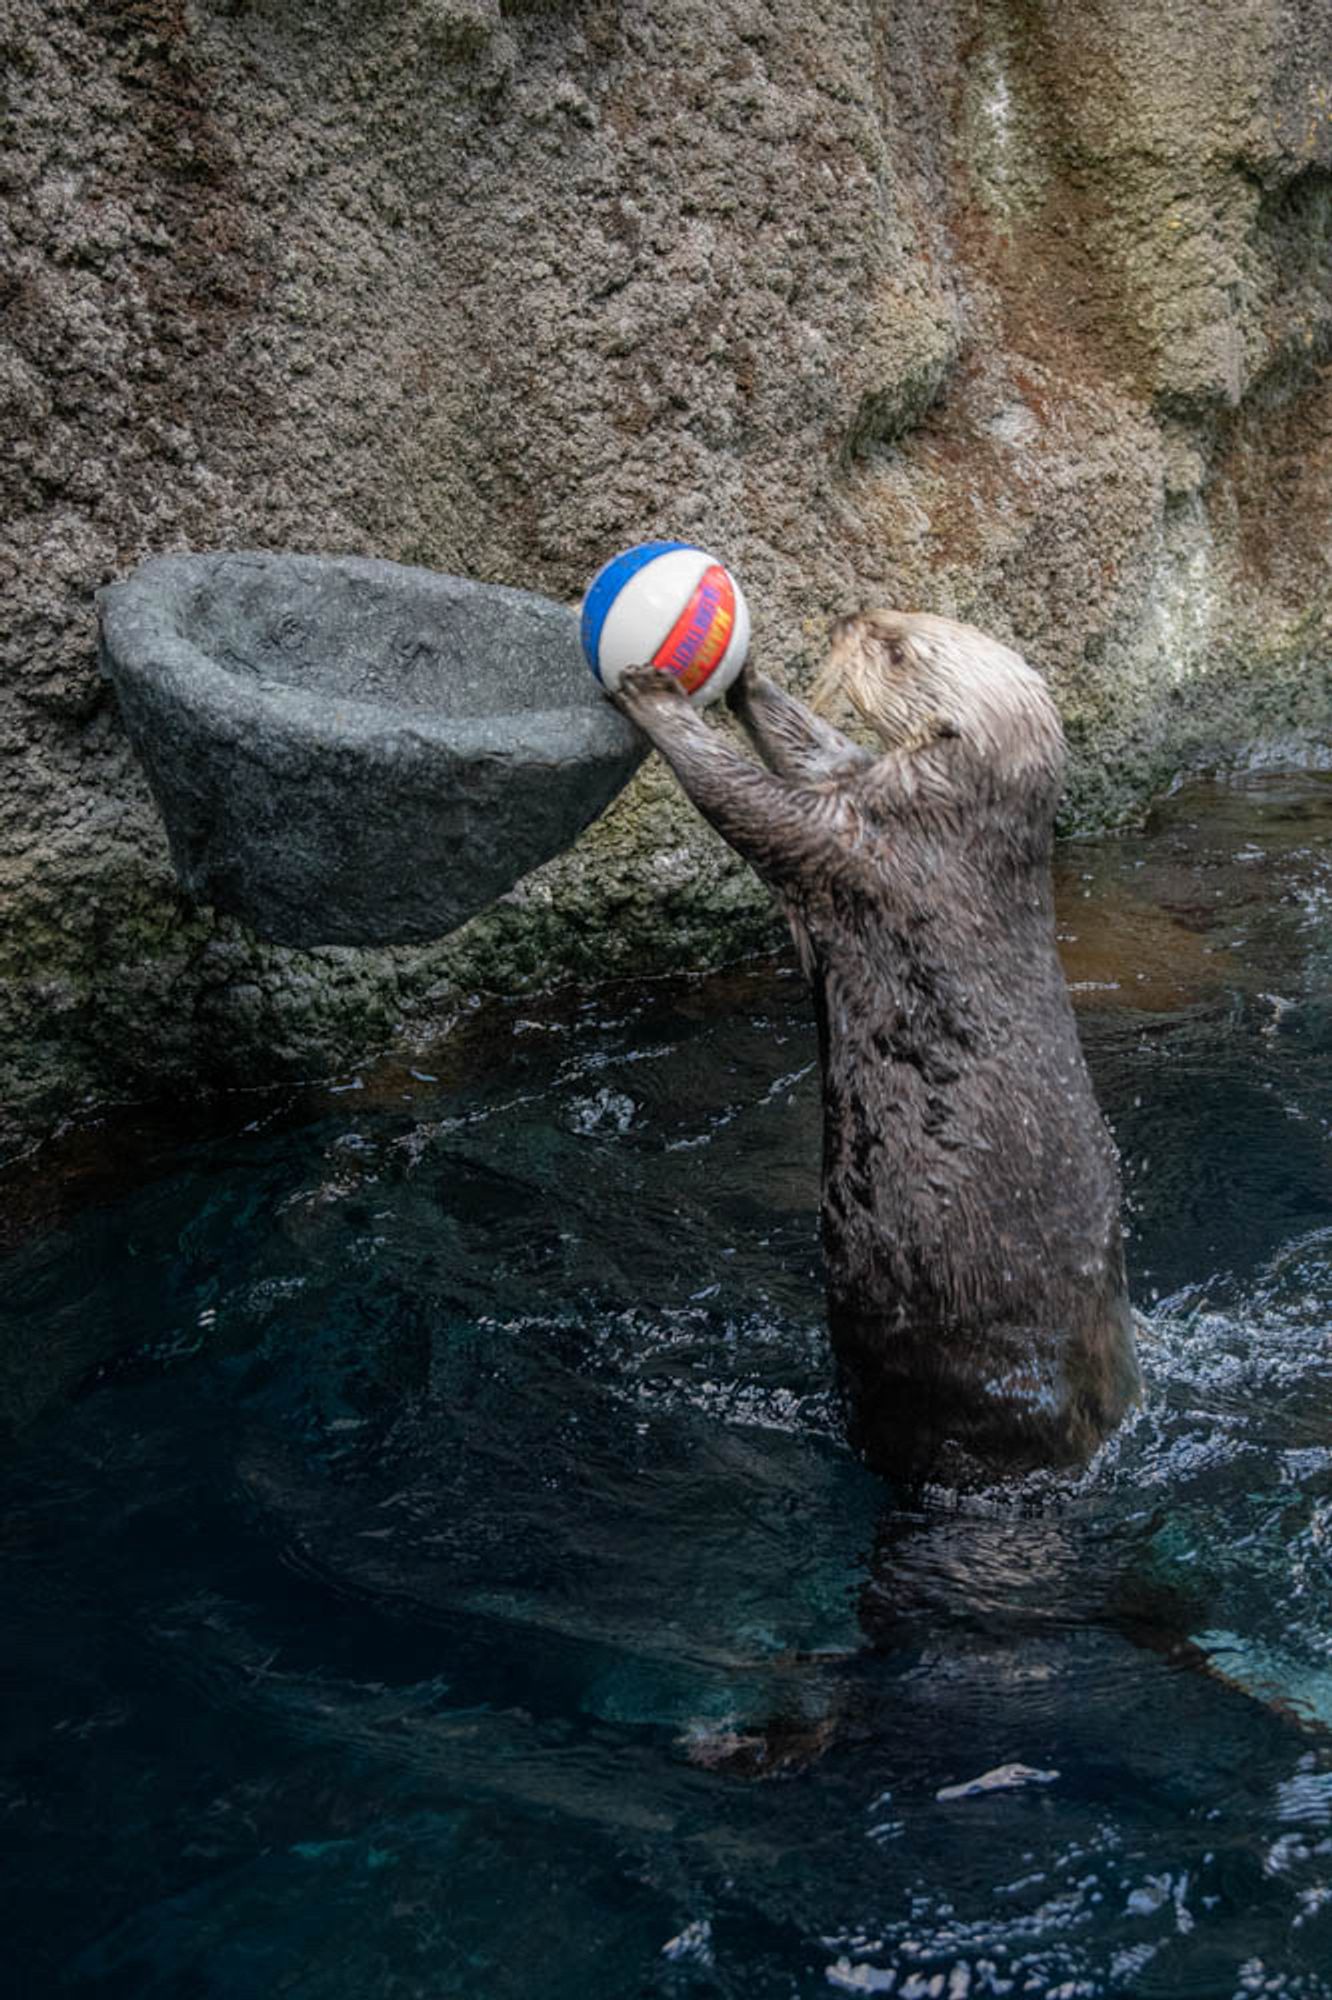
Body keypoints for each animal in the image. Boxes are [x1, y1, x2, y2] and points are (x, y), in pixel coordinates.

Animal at [612, 608, 1144, 1488]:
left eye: (896, 652)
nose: (851, 618)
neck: (956, 833)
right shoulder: (857, 787)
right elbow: (813, 747)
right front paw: (748, 676)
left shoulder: (857, 849)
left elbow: (746, 800)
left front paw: (657, 697)